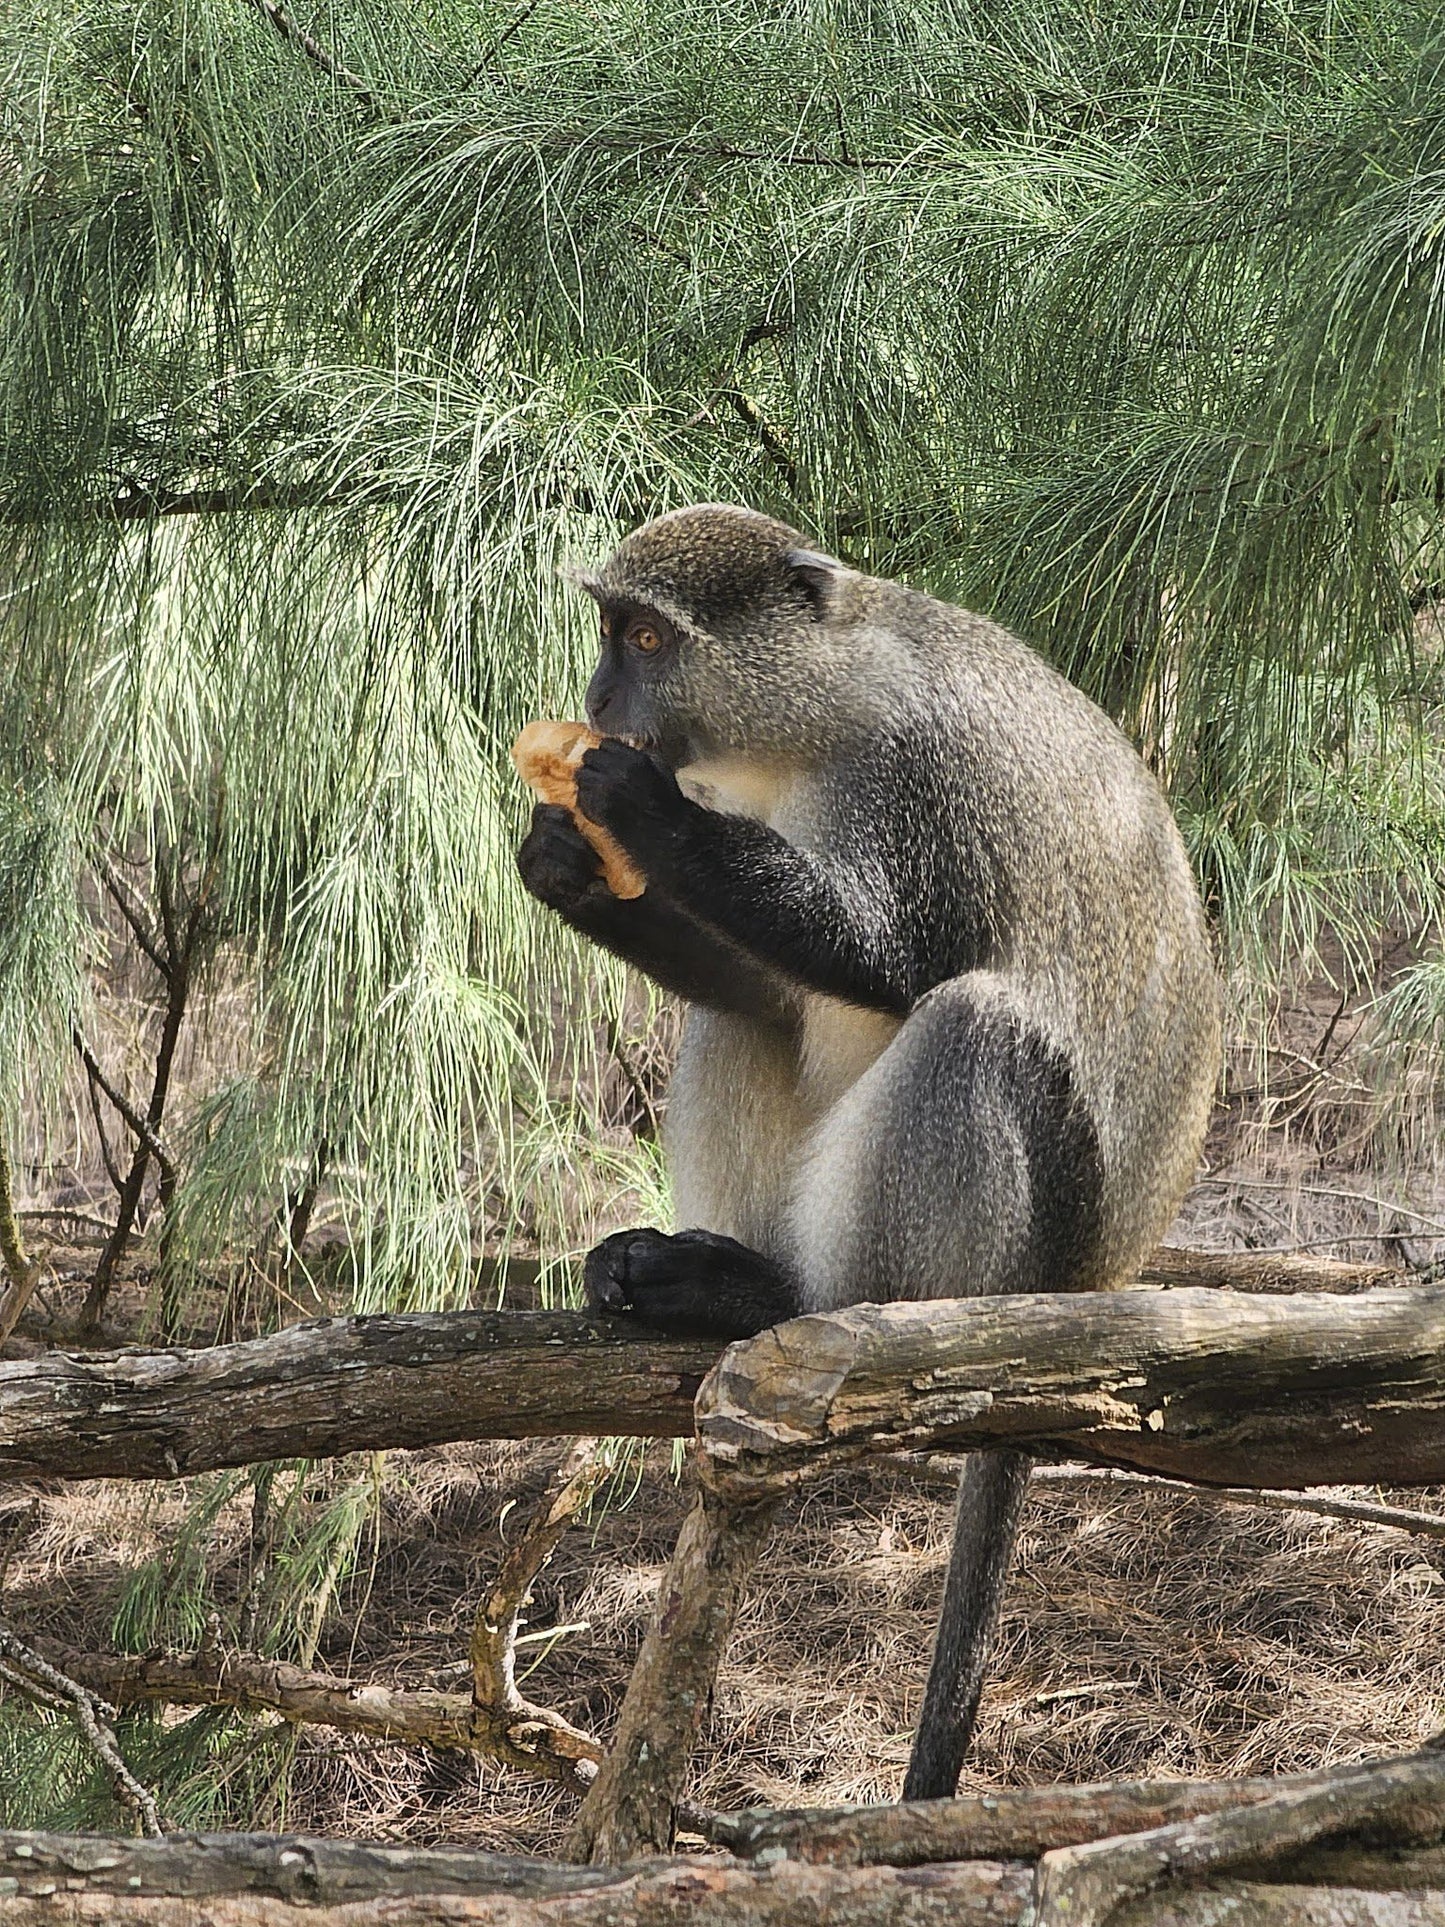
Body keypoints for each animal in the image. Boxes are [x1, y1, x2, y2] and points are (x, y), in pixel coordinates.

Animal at [520, 504, 1225, 1795]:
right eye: (610, 632)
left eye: (643, 637)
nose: (598, 702)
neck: (819, 716)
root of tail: (1098, 1280)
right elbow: (762, 991)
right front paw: (569, 867)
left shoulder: (918, 782)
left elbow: (895, 962)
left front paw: (635, 807)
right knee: (740, 1019)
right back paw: (697, 1273)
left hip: (1027, 1250)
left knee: (973, 1020)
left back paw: (809, 1305)